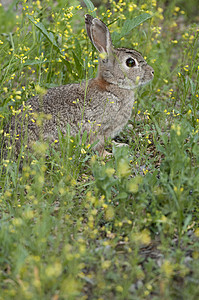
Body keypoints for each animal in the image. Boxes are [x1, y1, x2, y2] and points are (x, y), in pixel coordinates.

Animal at [5, 13, 154, 157]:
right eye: (130, 62)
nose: (152, 72)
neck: (112, 85)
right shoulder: (97, 127)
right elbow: (98, 145)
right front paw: (108, 155)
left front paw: (119, 145)